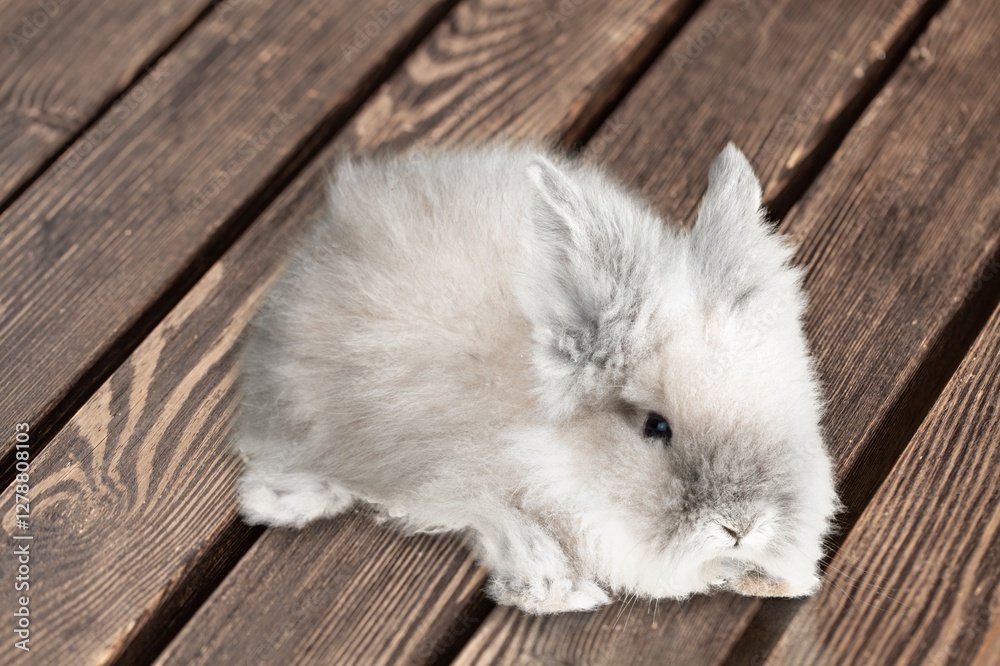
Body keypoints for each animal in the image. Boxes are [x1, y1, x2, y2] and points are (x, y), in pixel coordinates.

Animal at [234, 142, 840, 614]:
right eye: (656, 427)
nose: (741, 525)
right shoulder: (470, 476)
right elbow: (509, 523)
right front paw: (556, 592)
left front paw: (771, 579)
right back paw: (284, 499)